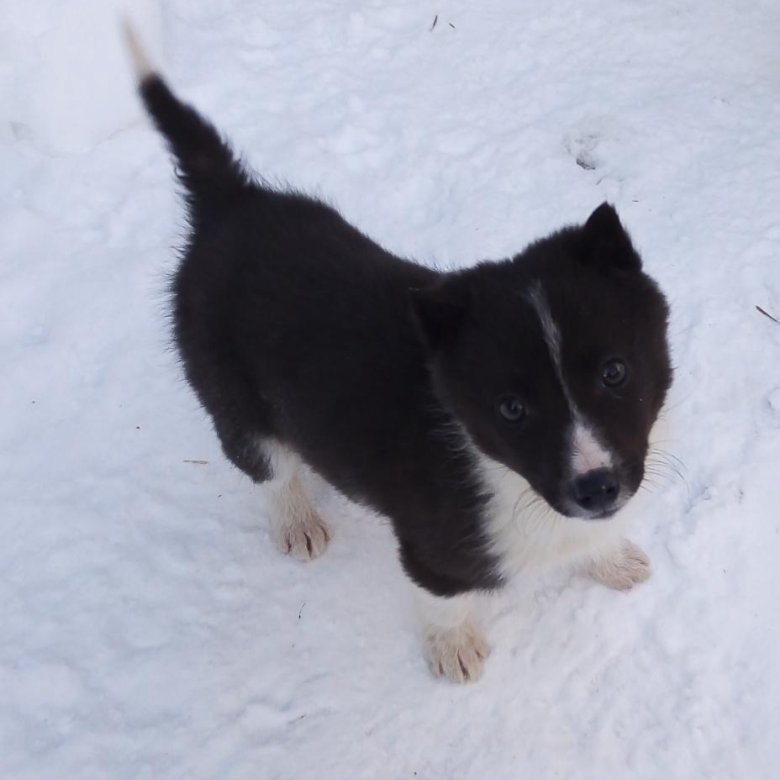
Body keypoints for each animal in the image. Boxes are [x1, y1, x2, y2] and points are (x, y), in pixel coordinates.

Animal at [126, 28, 672, 683]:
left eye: (615, 372)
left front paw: (611, 559)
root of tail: (230, 199)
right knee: (264, 463)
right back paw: (298, 522)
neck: (502, 474)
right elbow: (441, 599)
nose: (597, 490)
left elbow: (591, 539)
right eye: (512, 409)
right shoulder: (432, 547)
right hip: (230, 394)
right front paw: (453, 649)